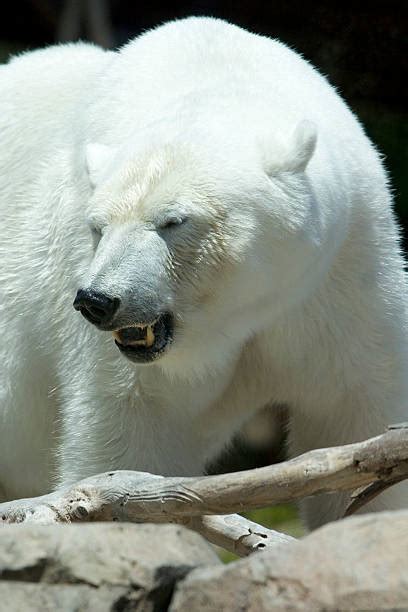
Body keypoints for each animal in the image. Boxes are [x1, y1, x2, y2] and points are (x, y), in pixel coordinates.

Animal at [0, 16, 408, 528]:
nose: (98, 301)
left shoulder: (340, 276)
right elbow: (130, 443)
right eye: (97, 226)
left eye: (174, 221)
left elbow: (353, 417)